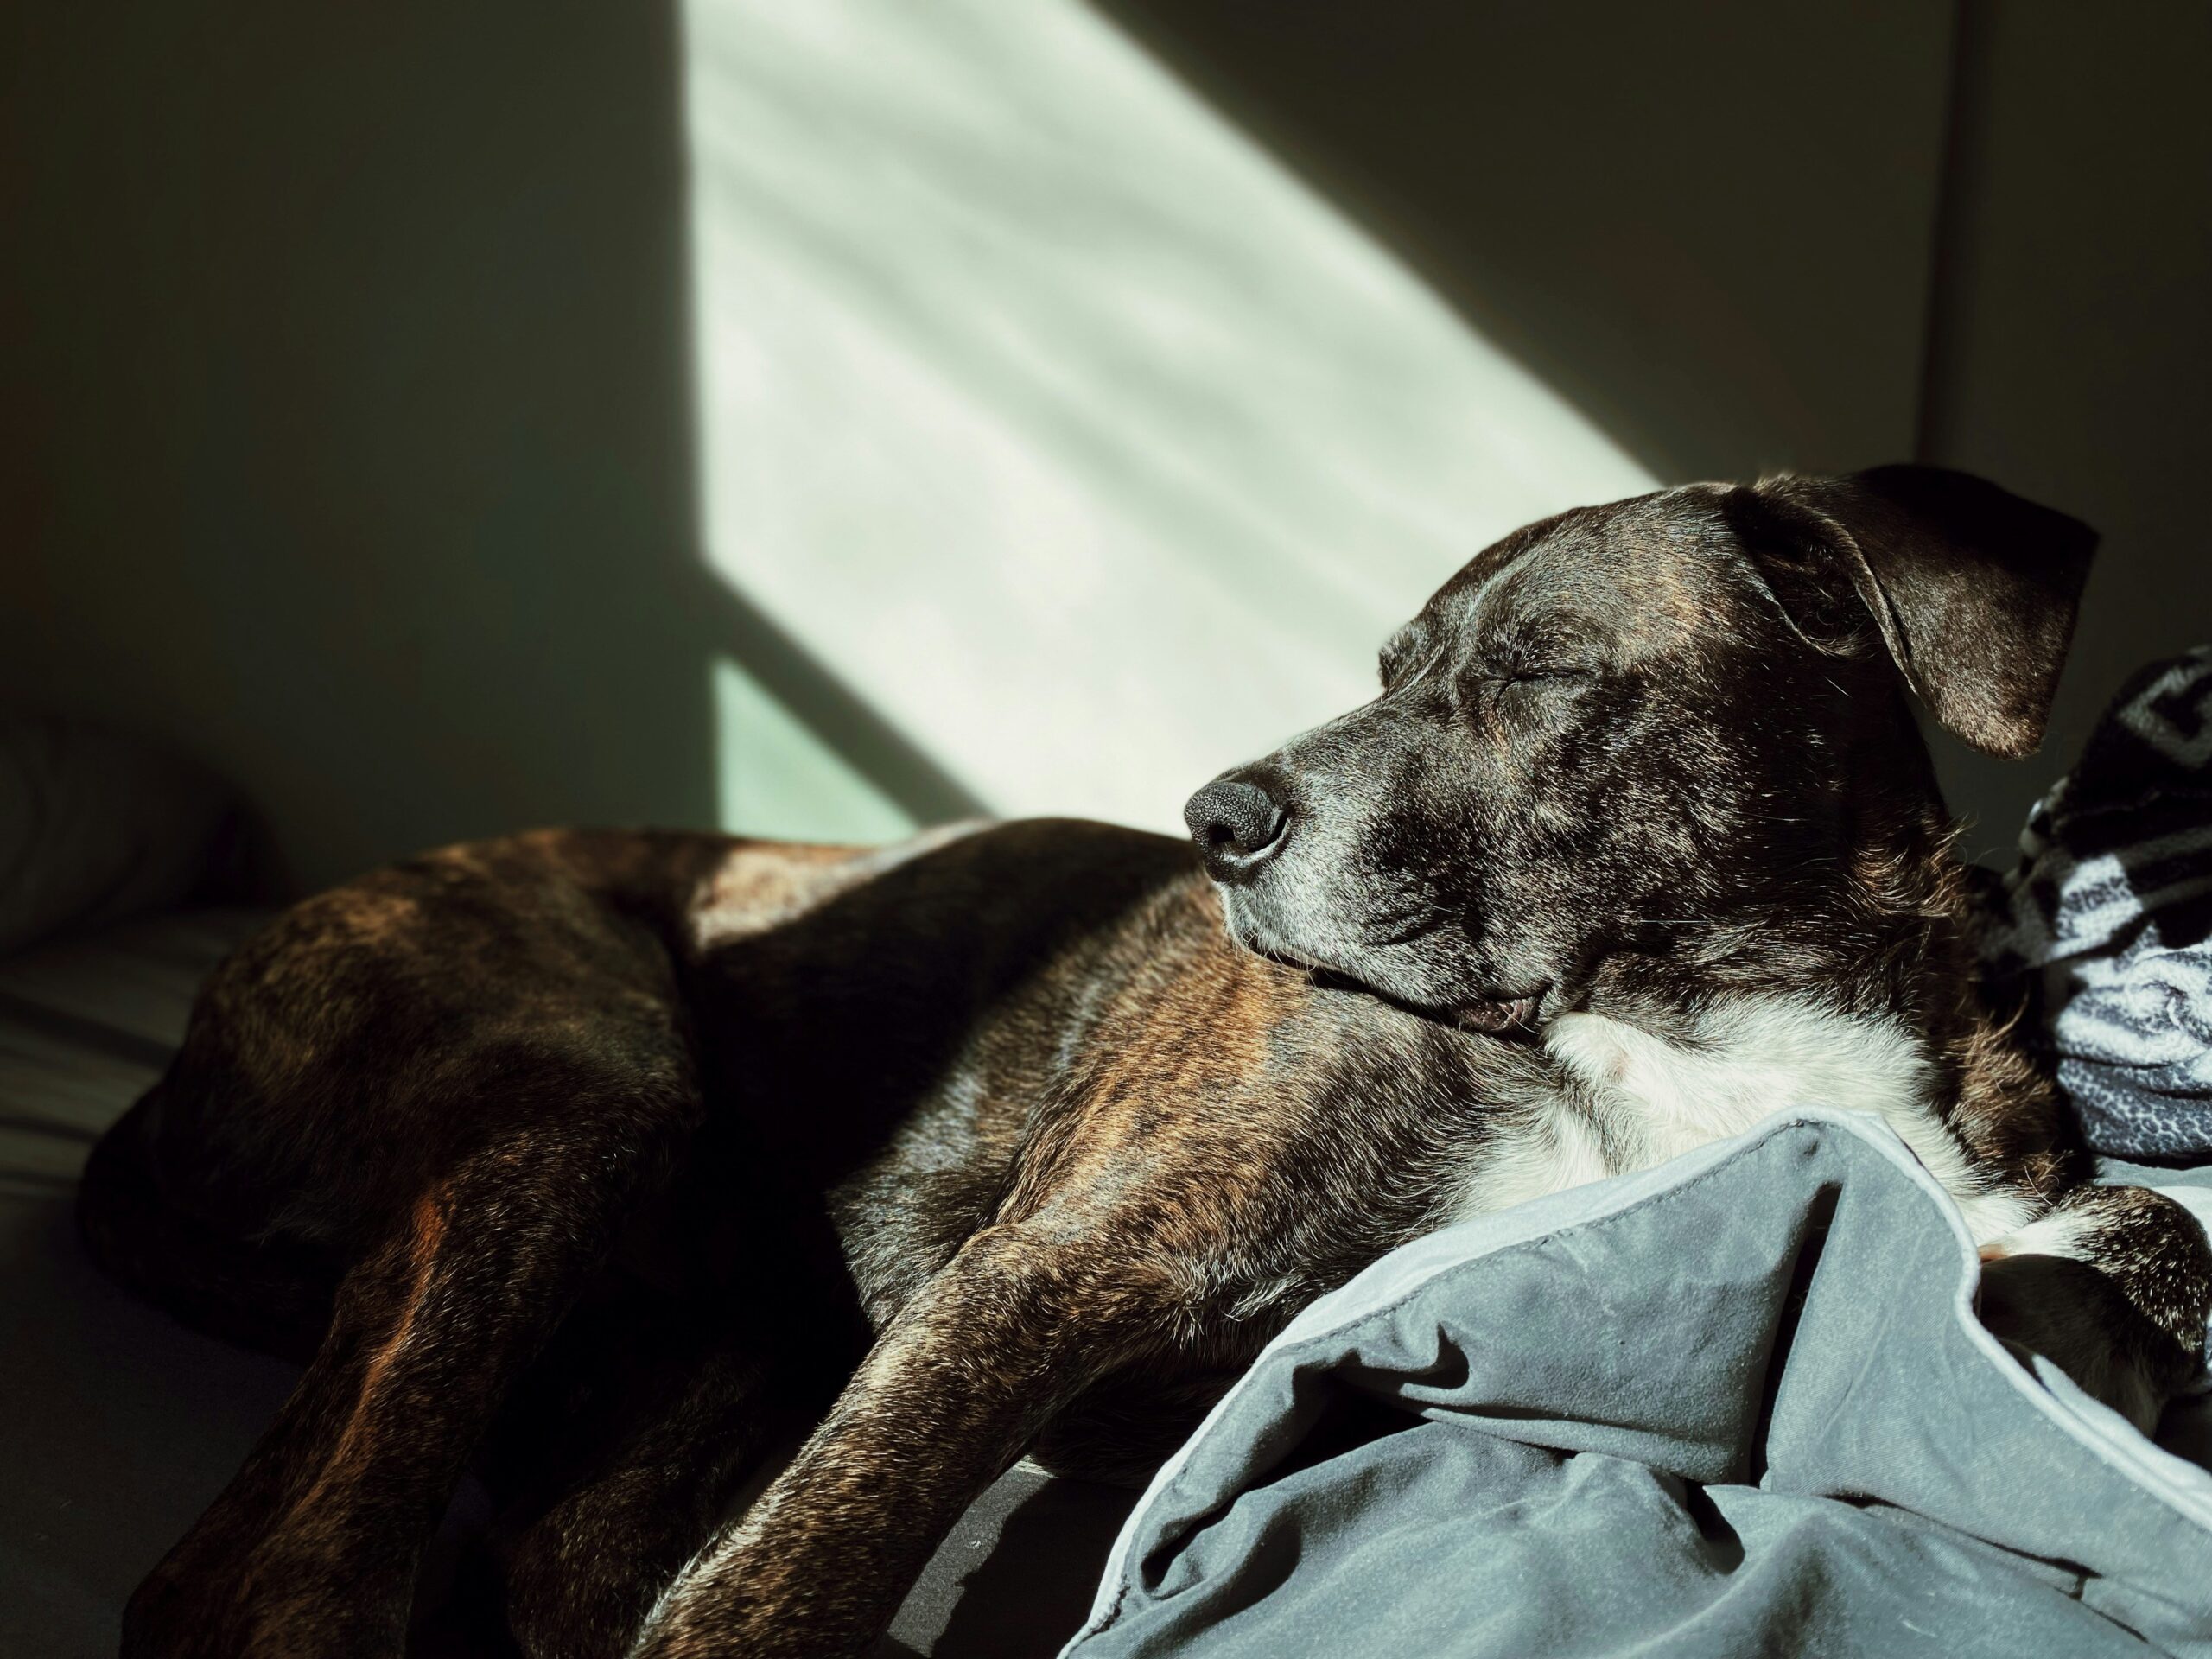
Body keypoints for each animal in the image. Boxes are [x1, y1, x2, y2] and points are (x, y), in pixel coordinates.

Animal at [81, 468, 2212, 1659]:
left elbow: (2145, 1231)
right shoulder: (1055, 1268)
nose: (1215, 820)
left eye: (1536, 669)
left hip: (742, 1315)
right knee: (260, 1584)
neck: (1694, 1030)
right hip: (586, 1108)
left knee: (558, 1555)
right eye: (1383, 667)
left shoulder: (1990, 1173)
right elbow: (794, 1571)